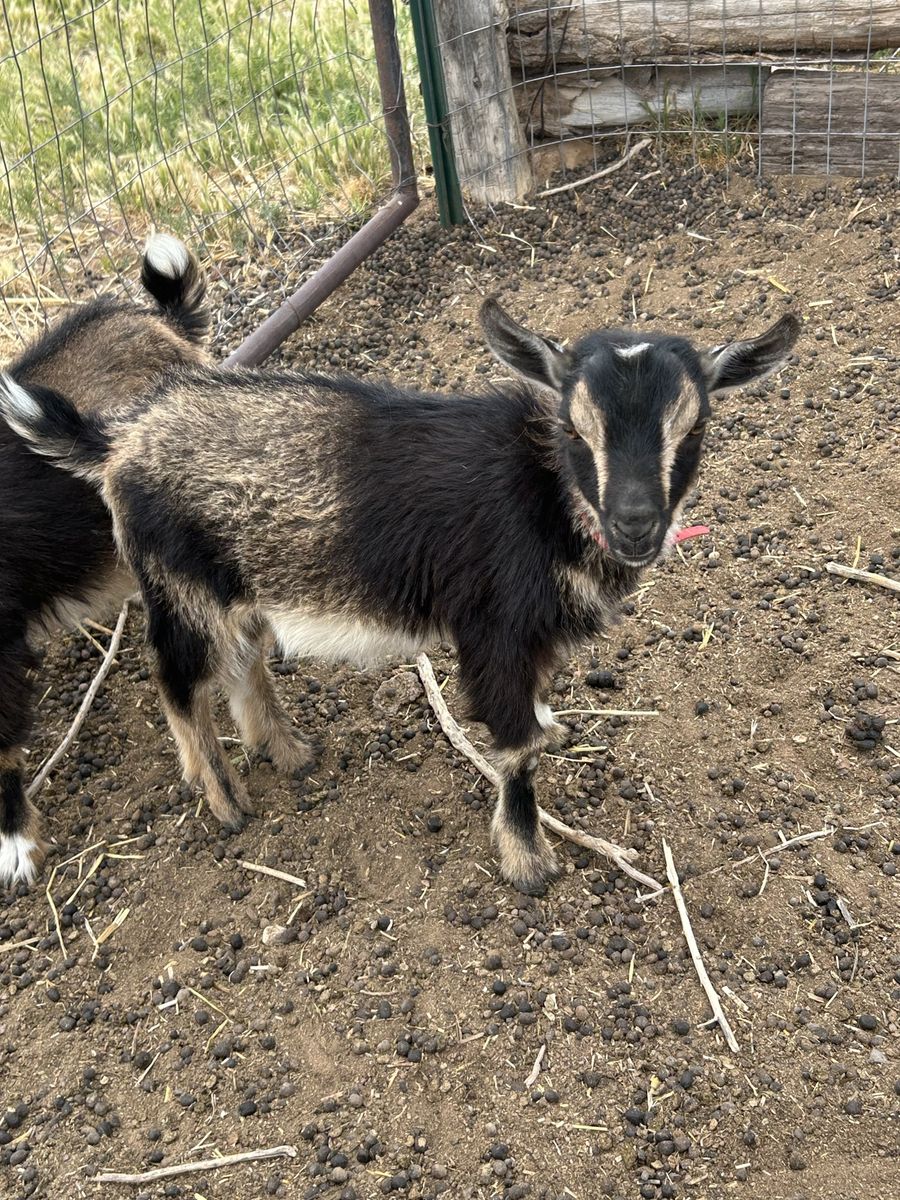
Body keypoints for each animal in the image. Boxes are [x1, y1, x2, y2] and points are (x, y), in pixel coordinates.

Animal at [0, 302, 799, 894]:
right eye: (575, 428)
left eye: (693, 427)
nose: (635, 523)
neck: (546, 497)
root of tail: (119, 441)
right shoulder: (492, 629)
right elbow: (514, 750)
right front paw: (528, 861)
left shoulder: (533, 637)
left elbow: (537, 712)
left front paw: (552, 728)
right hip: (180, 586)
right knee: (178, 682)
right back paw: (226, 801)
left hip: (241, 586)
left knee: (242, 662)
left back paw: (288, 749)